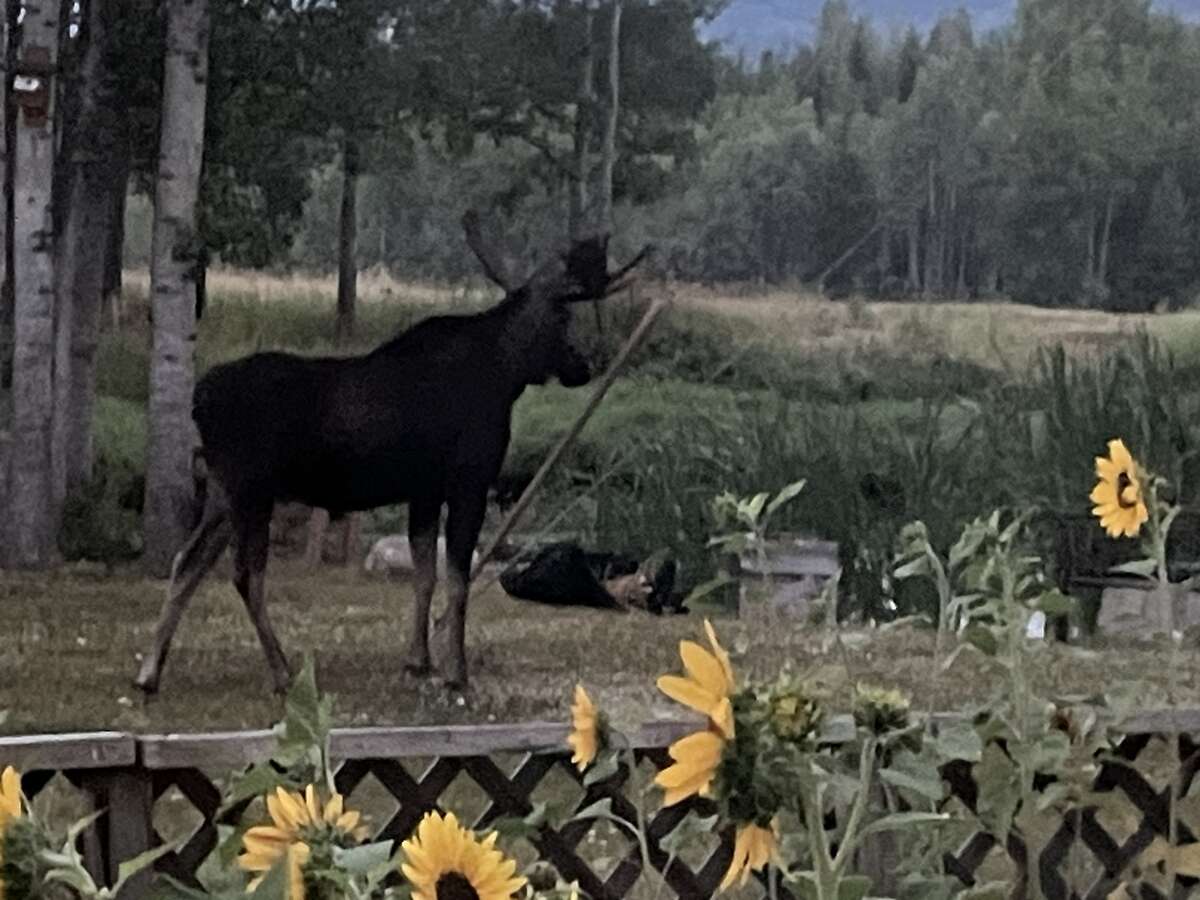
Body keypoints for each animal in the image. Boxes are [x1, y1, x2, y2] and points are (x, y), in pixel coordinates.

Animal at [133, 212, 649, 694]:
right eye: (565, 319)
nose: (583, 365)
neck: (507, 375)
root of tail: (200, 399)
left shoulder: (424, 489)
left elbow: (424, 574)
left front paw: (418, 660)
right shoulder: (470, 478)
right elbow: (457, 575)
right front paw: (456, 672)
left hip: (225, 490)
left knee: (187, 561)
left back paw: (149, 671)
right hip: (252, 488)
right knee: (244, 574)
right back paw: (281, 671)